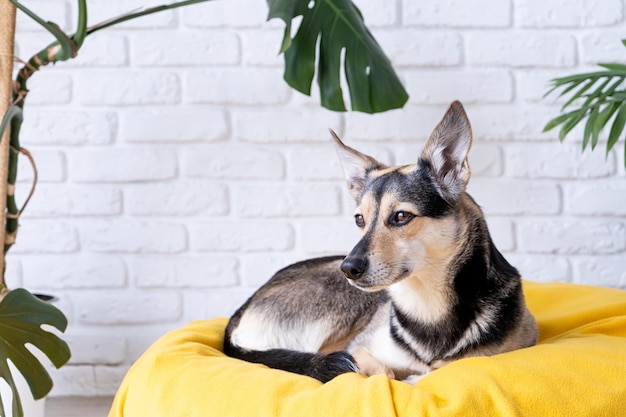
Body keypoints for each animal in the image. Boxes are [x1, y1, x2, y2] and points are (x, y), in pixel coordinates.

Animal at [221, 101, 536, 384]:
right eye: (359, 220)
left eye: (401, 216)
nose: (349, 269)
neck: (427, 305)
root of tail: (240, 311)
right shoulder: (357, 349)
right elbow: (382, 371)